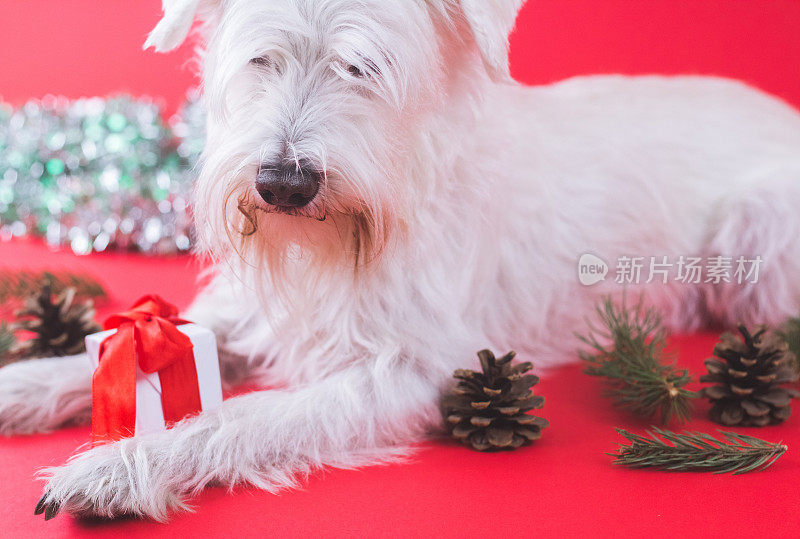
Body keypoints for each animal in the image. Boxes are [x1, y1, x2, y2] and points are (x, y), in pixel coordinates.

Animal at [1, 0, 800, 524]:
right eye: (261, 59)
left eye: (362, 66)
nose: (282, 183)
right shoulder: (244, 318)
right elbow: (111, 359)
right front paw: (24, 386)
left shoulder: (403, 374)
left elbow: (241, 418)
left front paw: (119, 465)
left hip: (756, 238)